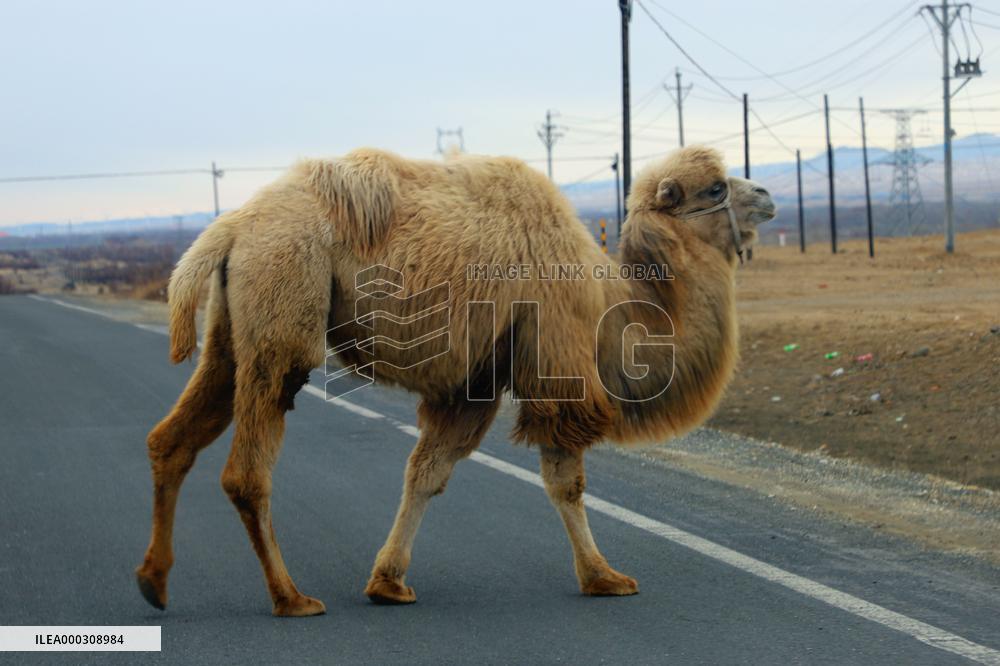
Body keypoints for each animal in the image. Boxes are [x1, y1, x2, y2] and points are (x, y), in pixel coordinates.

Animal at [135, 145, 775, 616]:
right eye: (715, 188)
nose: (768, 196)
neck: (610, 303)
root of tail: (231, 227)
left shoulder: (474, 382)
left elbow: (427, 472)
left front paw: (388, 582)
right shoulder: (554, 361)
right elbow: (564, 480)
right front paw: (605, 577)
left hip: (231, 328)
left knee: (172, 439)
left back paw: (154, 583)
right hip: (284, 301)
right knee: (247, 468)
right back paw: (291, 598)